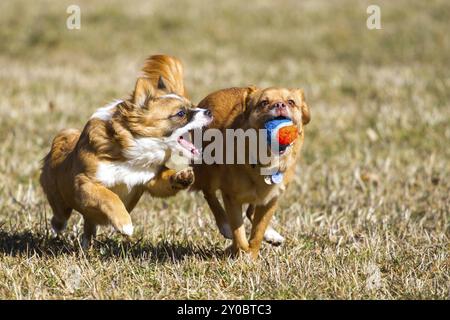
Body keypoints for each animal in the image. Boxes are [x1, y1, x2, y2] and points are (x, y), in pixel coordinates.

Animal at [39, 55, 212, 248]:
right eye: (181, 113)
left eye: (194, 106)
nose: (209, 111)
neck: (131, 154)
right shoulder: (84, 183)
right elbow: (109, 196)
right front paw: (124, 224)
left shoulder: (149, 179)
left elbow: (165, 181)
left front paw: (183, 176)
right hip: (58, 197)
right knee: (61, 214)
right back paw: (58, 226)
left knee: (89, 224)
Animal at [192, 86, 312, 258]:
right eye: (264, 103)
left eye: (291, 102)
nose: (280, 104)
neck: (267, 160)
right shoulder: (231, 198)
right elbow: (239, 233)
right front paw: (242, 254)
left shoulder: (270, 199)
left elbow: (257, 232)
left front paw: (252, 254)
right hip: (208, 173)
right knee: (209, 194)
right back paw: (225, 225)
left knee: (251, 211)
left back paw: (271, 234)